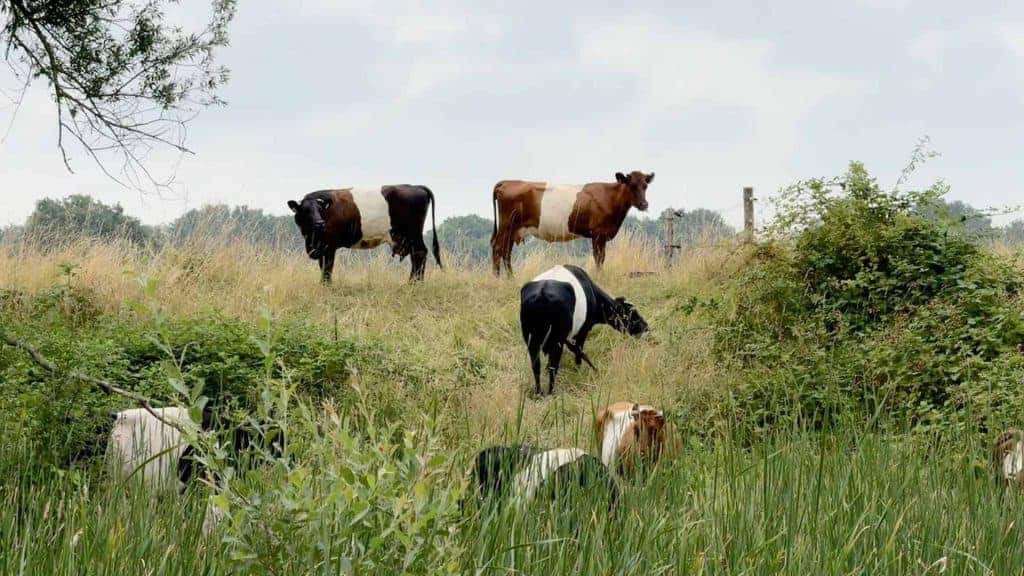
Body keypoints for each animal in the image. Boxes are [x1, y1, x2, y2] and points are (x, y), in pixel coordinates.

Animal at [287, 185, 442, 283]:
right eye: (305, 210)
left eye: (320, 209)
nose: (320, 223)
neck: (310, 237)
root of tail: (416, 186)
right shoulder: (320, 247)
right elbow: (323, 267)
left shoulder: (329, 246)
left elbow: (327, 268)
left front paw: (326, 286)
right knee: (417, 256)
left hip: (413, 233)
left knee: (420, 253)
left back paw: (414, 284)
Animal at [490, 171, 654, 276]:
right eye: (632, 185)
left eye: (645, 186)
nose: (644, 204)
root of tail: (506, 182)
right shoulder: (598, 233)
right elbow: (599, 257)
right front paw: (599, 276)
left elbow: (601, 257)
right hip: (506, 226)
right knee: (498, 249)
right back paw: (497, 279)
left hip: (512, 230)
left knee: (506, 252)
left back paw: (511, 278)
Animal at [520, 265, 648, 395]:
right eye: (632, 313)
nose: (646, 328)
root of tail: (542, 292)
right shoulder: (582, 331)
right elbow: (578, 351)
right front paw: (579, 369)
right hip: (556, 340)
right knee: (553, 366)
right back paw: (551, 392)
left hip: (532, 339)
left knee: (536, 366)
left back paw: (539, 392)